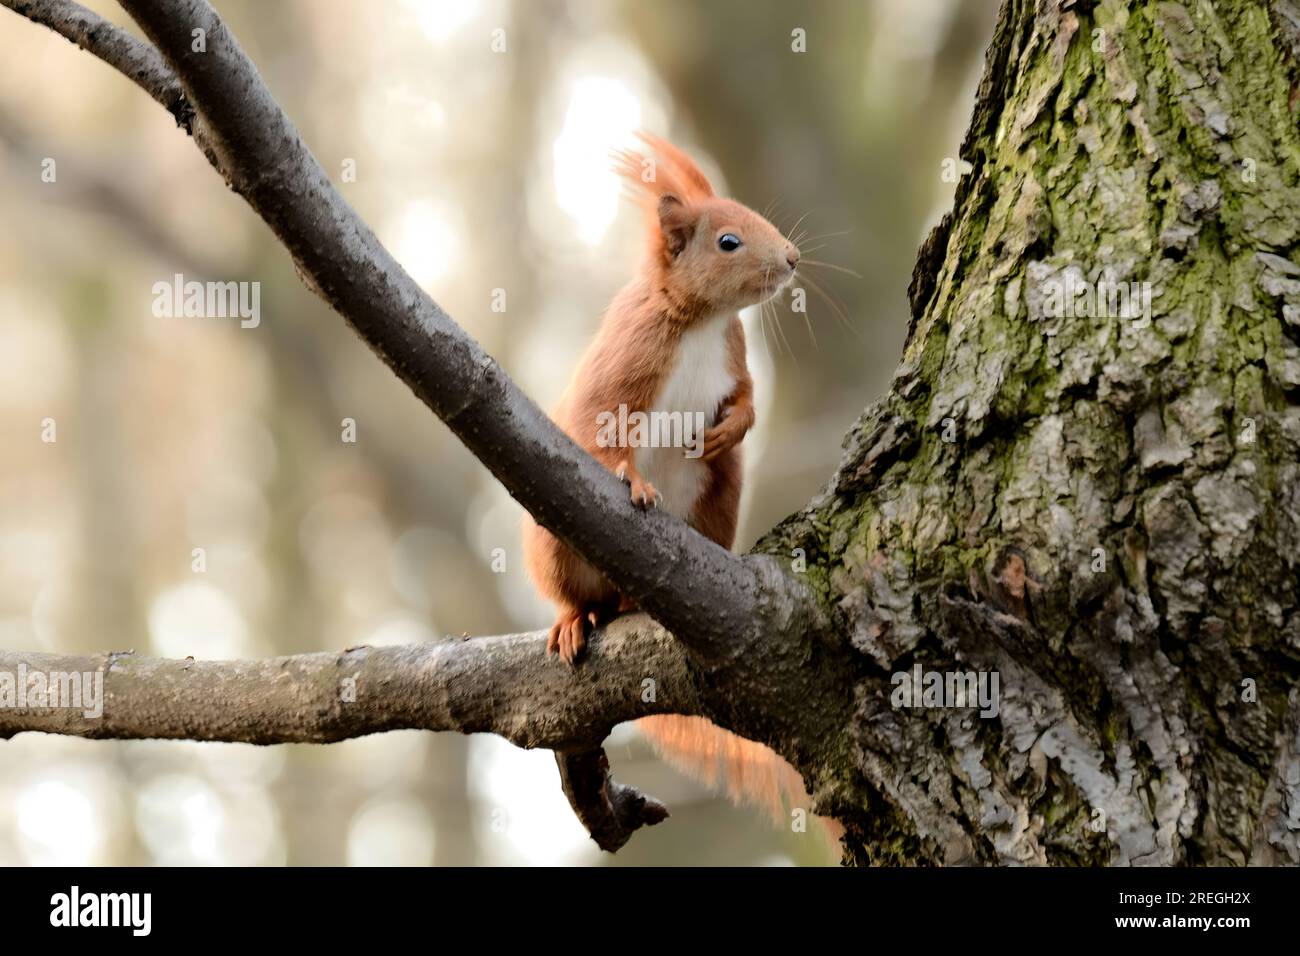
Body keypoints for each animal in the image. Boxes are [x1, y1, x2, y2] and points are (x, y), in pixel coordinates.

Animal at [522, 133, 823, 832]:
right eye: (728, 241)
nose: (792, 258)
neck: (706, 320)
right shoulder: (626, 360)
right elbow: (601, 426)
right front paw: (633, 483)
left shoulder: (735, 359)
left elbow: (746, 400)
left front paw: (732, 426)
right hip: (554, 547)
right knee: (575, 596)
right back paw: (574, 620)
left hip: (719, 498)